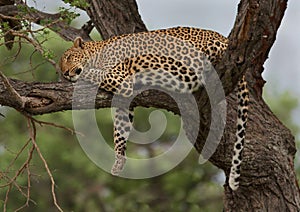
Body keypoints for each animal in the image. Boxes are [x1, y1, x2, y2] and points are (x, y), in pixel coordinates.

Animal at [58, 26, 248, 190]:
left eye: (68, 58)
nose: (65, 73)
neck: (97, 52)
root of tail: (223, 38)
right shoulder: (124, 100)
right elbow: (120, 130)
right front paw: (119, 161)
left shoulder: (120, 78)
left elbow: (90, 72)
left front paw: (79, 75)